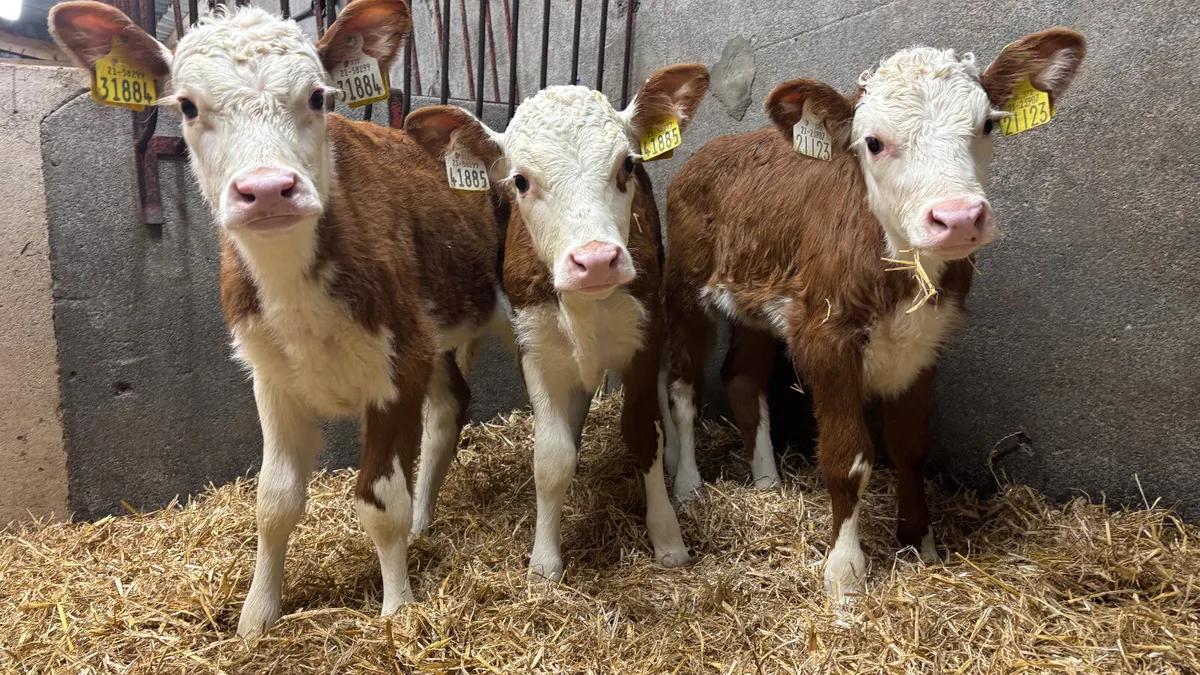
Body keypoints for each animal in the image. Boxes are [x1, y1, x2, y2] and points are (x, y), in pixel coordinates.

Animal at [49, 0, 509, 635]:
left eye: (317, 97)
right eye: (187, 105)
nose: (267, 189)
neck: (297, 297)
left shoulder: (398, 366)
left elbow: (378, 500)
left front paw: (396, 610)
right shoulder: (272, 375)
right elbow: (274, 503)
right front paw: (255, 617)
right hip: (436, 331)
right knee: (450, 405)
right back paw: (424, 524)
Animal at [404, 64, 711, 581]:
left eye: (626, 166)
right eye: (521, 181)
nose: (597, 260)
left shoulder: (645, 335)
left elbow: (643, 431)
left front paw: (668, 539)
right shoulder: (535, 345)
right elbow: (551, 457)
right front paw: (545, 560)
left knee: (677, 391)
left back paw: (685, 474)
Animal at [661, 30, 1086, 598]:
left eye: (988, 125)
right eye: (874, 143)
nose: (958, 218)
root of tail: (713, 145)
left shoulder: (926, 341)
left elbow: (910, 447)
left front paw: (920, 546)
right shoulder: (825, 336)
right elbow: (848, 459)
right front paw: (845, 573)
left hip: (758, 301)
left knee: (742, 379)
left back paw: (767, 481)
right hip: (686, 291)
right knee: (684, 388)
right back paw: (688, 485)